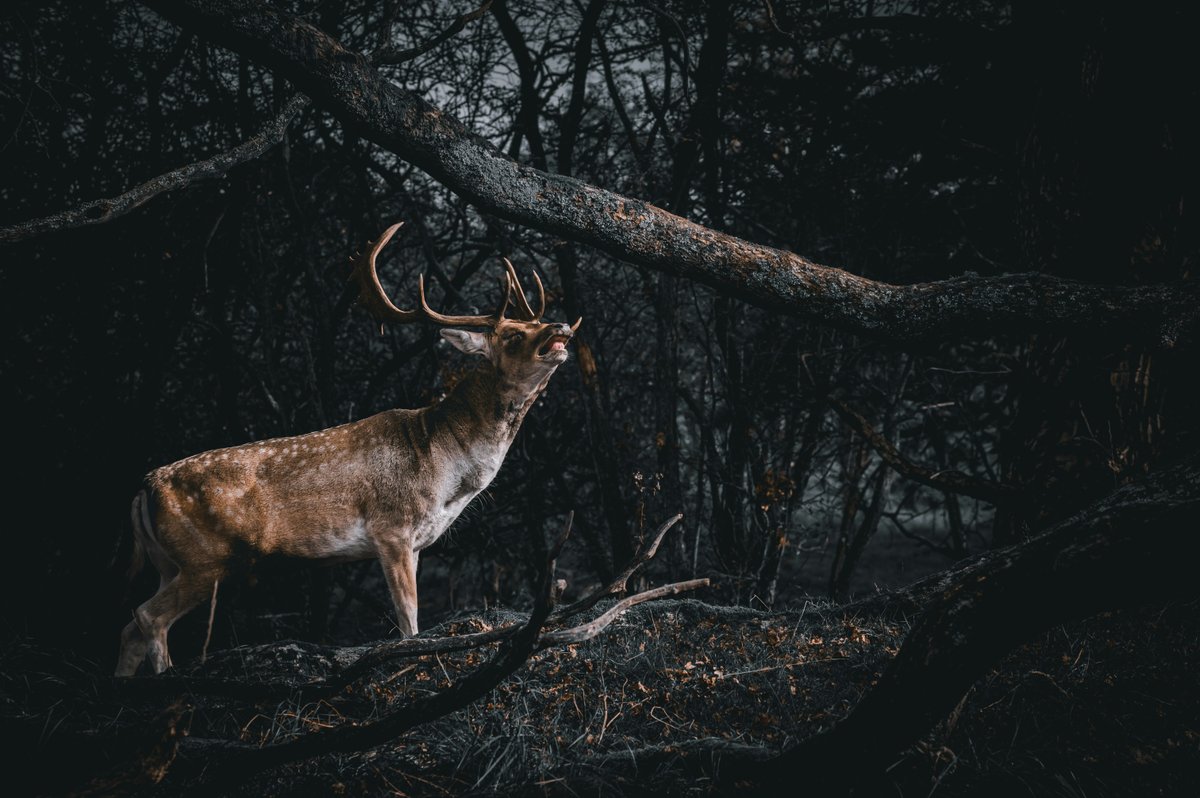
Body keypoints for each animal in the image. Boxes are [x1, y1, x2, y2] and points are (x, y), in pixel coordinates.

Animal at [116, 222, 580, 676]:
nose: (560, 327)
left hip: (169, 563)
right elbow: (408, 621)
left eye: (536, 323)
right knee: (148, 616)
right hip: (206, 557)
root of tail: (145, 488)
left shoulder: (417, 543)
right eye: (512, 334)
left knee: (129, 628)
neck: (445, 466)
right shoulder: (391, 527)